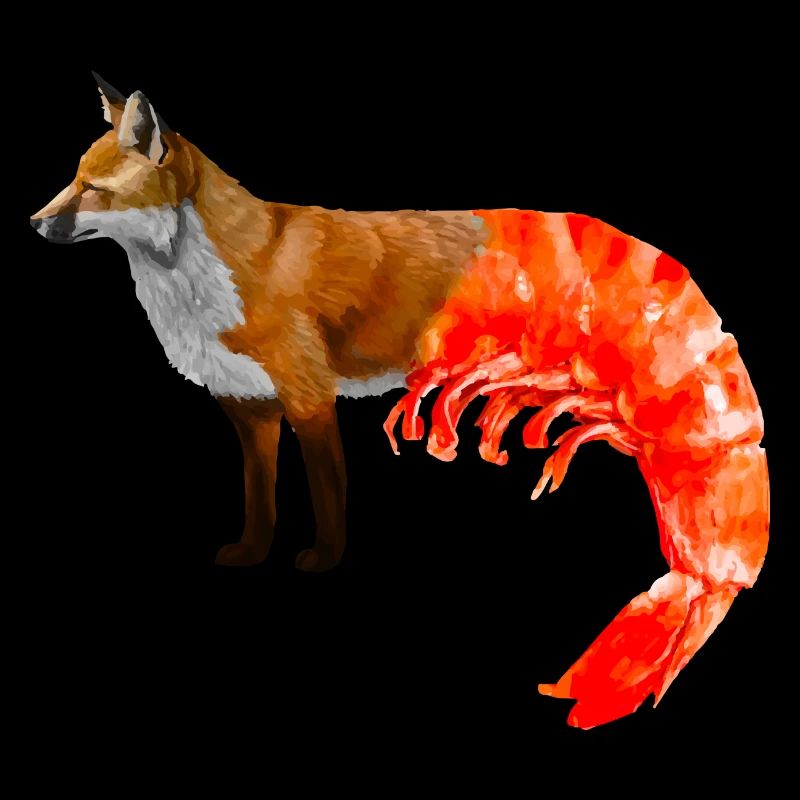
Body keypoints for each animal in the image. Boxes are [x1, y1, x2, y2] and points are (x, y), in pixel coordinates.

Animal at [32, 74, 768, 729]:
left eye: (93, 189)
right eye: (73, 177)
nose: (34, 223)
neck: (204, 284)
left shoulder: (309, 398)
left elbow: (328, 497)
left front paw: (323, 561)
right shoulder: (250, 408)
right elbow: (260, 499)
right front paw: (251, 552)